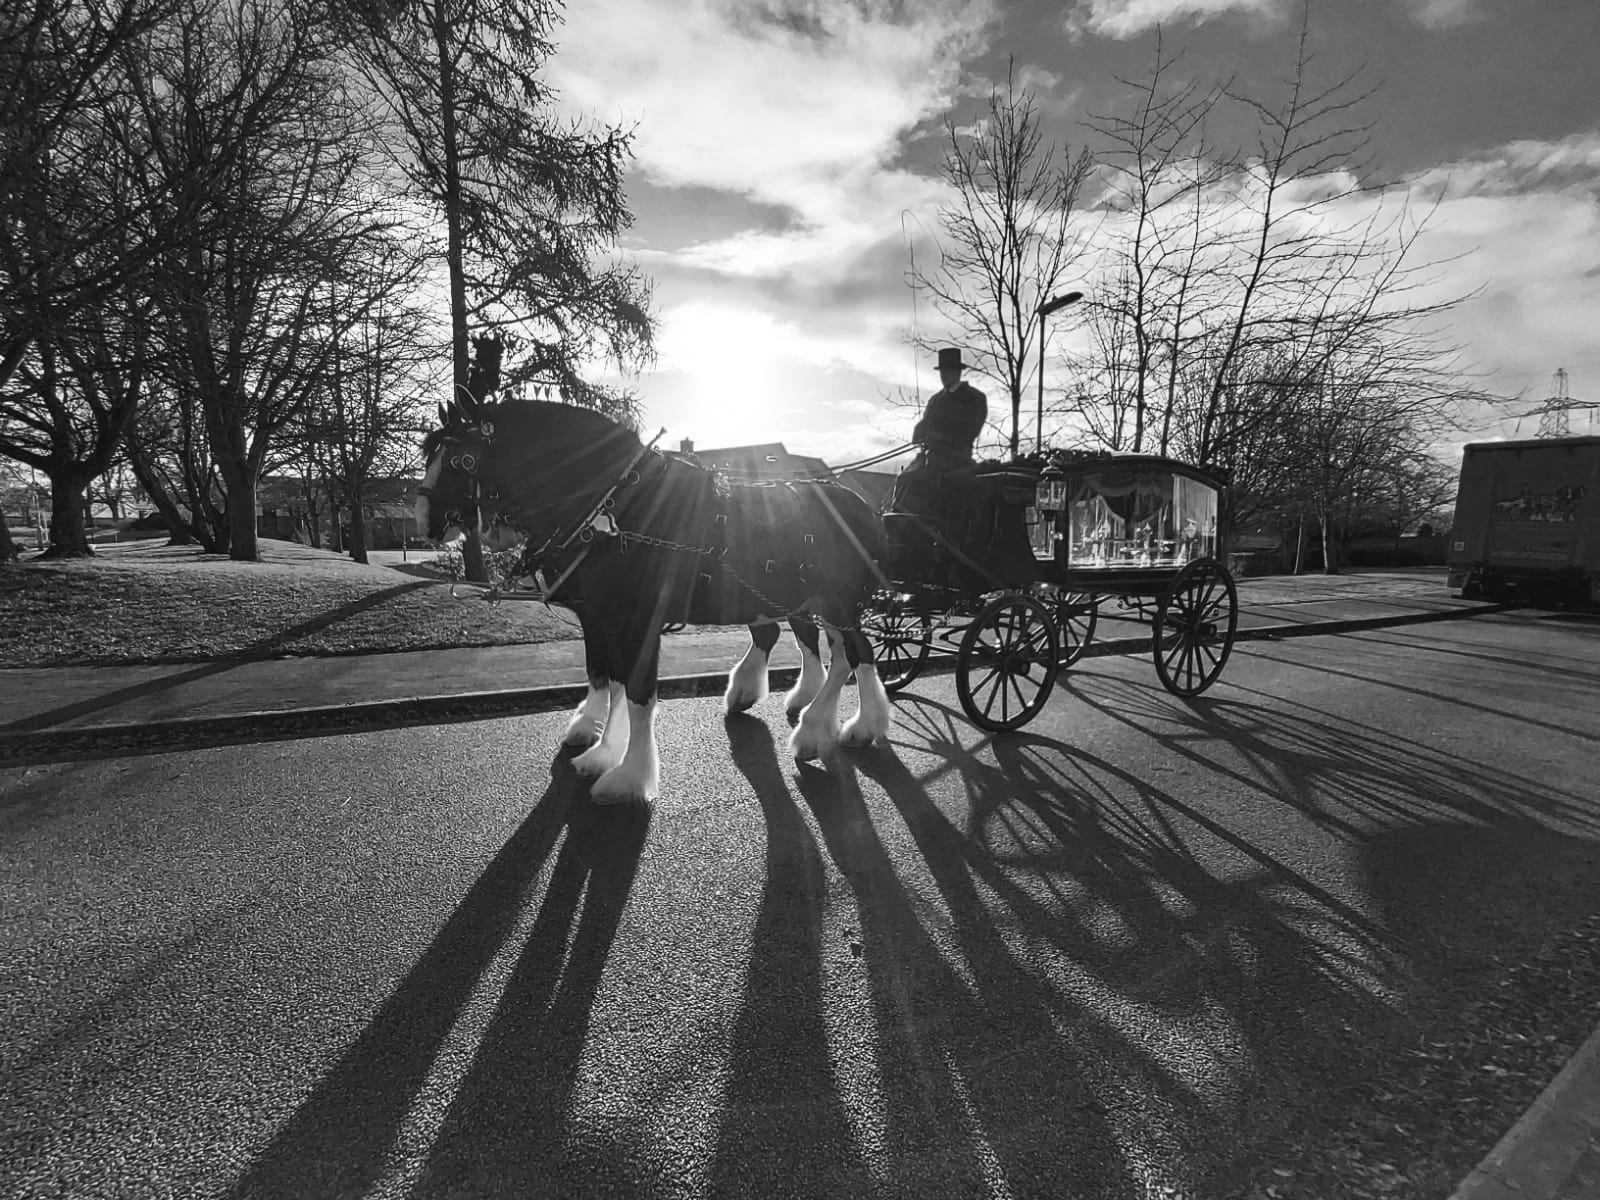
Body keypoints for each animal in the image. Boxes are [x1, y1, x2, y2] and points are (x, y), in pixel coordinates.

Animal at [416, 396, 892, 803]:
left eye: (461, 459)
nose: (425, 521)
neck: (615, 507)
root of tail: (865, 506)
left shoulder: (636, 620)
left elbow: (638, 694)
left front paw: (629, 777)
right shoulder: (598, 617)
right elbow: (606, 678)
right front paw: (601, 747)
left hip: (837, 601)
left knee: (856, 653)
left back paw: (838, 727)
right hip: (802, 599)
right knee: (824, 647)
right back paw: (797, 708)